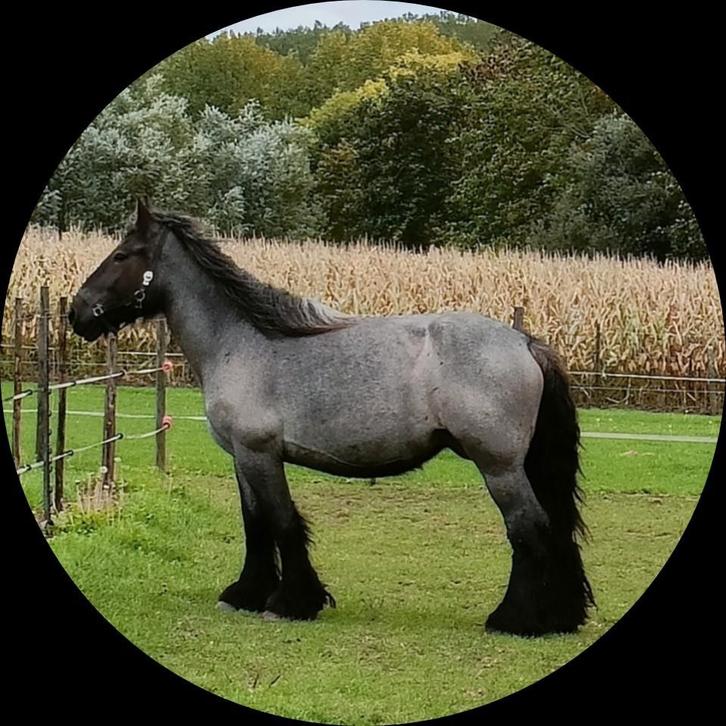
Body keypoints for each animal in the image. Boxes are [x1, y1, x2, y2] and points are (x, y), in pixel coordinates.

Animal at [68, 199, 594, 636]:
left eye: (123, 255)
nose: (77, 312)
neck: (242, 344)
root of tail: (524, 342)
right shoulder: (241, 458)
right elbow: (255, 524)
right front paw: (245, 594)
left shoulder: (260, 454)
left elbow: (282, 522)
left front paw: (291, 602)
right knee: (551, 529)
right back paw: (561, 616)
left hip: (499, 467)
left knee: (528, 530)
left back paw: (515, 620)